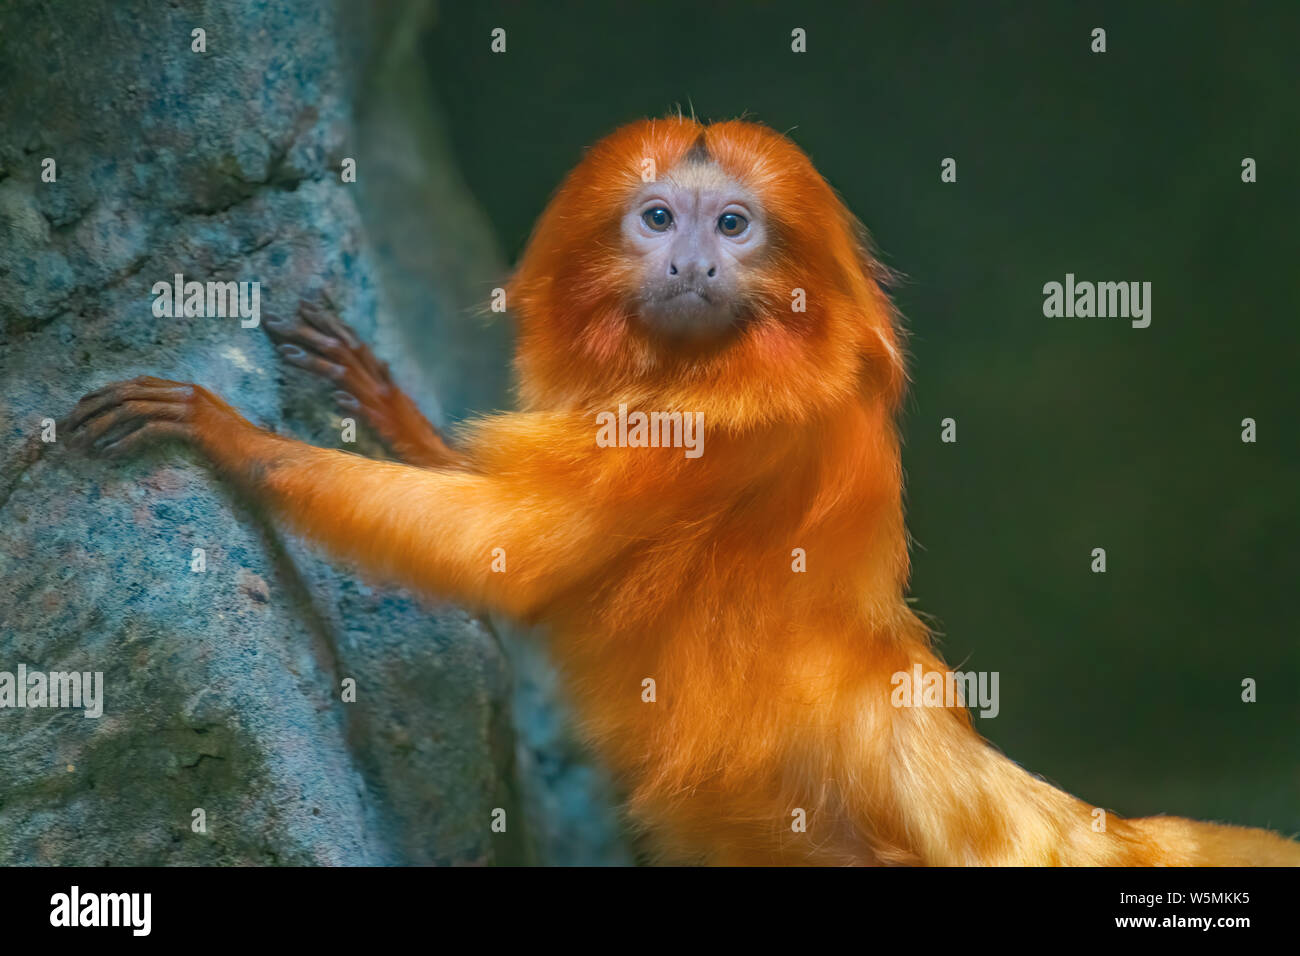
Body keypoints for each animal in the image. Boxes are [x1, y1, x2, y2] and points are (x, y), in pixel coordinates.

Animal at [63, 119, 1300, 868]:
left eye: (733, 224)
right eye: (657, 218)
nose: (693, 263)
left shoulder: (727, 432)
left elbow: (513, 552)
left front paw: (227, 435)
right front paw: (386, 402)